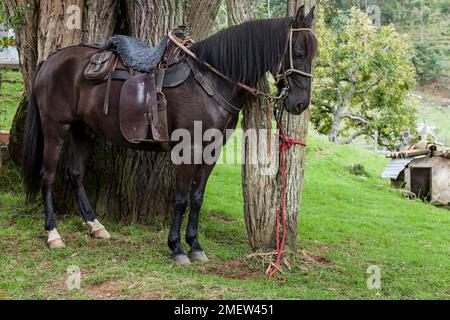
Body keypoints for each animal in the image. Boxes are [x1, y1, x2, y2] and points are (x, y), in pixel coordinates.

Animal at [22, 5, 316, 264]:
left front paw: (195, 245)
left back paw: (96, 226)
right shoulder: (188, 148)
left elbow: (197, 198)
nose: (300, 103)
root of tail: (51, 60)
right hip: (55, 128)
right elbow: (182, 198)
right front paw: (176, 248)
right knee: (48, 176)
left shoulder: (212, 149)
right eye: (299, 52)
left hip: (84, 131)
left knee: (75, 174)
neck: (211, 78)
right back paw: (53, 233)